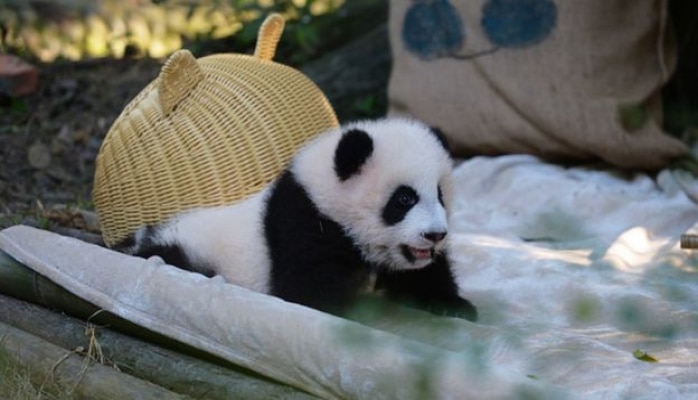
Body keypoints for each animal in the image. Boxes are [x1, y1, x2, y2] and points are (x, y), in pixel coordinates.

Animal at [116, 118, 477, 321]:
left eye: (440, 194)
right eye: (404, 199)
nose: (435, 235)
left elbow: (424, 274)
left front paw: (454, 305)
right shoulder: (303, 221)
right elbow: (307, 290)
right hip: (189, 248)